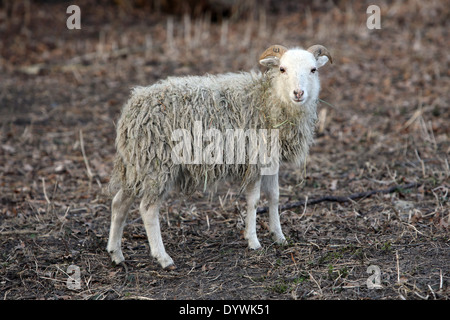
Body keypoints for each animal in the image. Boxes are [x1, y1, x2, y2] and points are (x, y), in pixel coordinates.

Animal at [105, 43, 330, 268]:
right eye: (282, 69)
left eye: (313, 70)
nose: (298, 93)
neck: (268, 99)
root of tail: (132, 110)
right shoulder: (254, 159)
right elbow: (254, 201)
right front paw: (253, 241)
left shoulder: (270, 160)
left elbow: (274, 196)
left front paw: (279, 236)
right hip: (158, 164)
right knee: (148, 209)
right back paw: (163, 258)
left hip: (137, 164)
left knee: (119, 203)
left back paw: (116, 253)